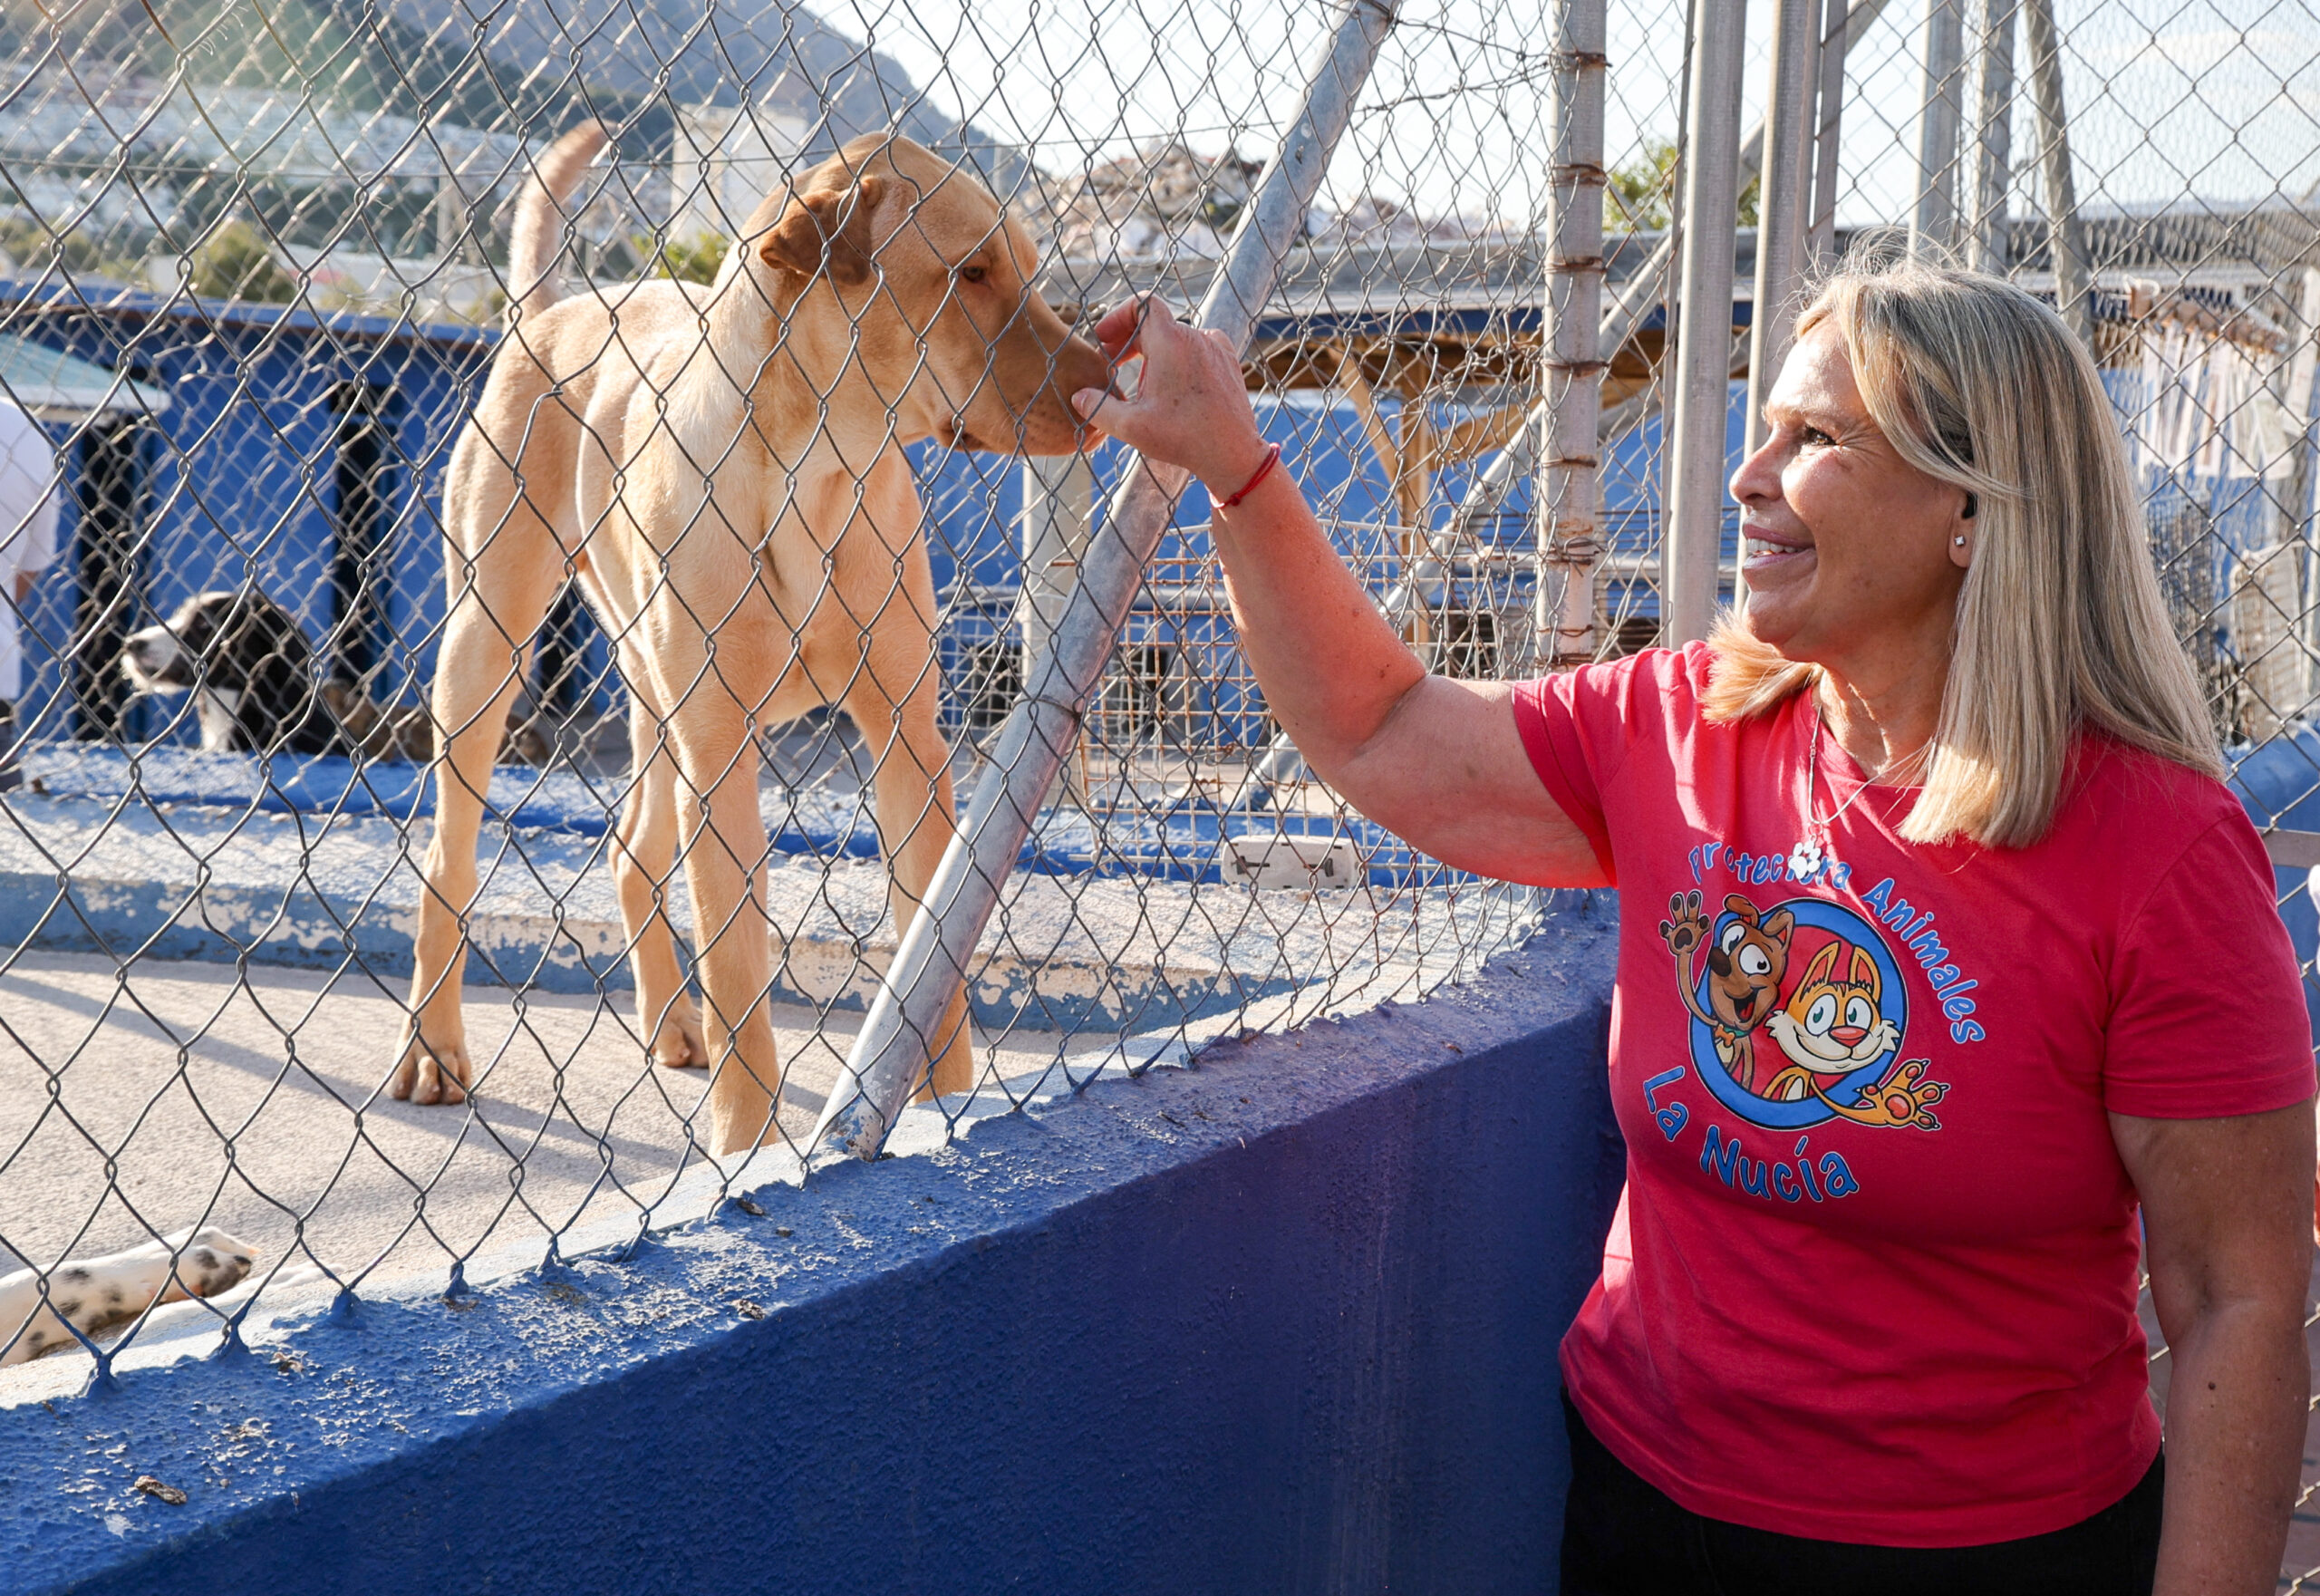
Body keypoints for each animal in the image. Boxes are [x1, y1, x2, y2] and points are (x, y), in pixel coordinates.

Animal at [394, 124, 1108, 1146]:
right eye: (971, 272)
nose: (1109, 382)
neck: (819, 466)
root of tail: (559, 308)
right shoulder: (721, 758)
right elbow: (737, 969)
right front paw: (746, 1149)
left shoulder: (906, 742)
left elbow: (929, 960)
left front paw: (942, 1107)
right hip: (485, 658)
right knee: (447, 866)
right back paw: (434, 1044)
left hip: (656, 703)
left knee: (633, 851)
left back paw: (668, 1020)